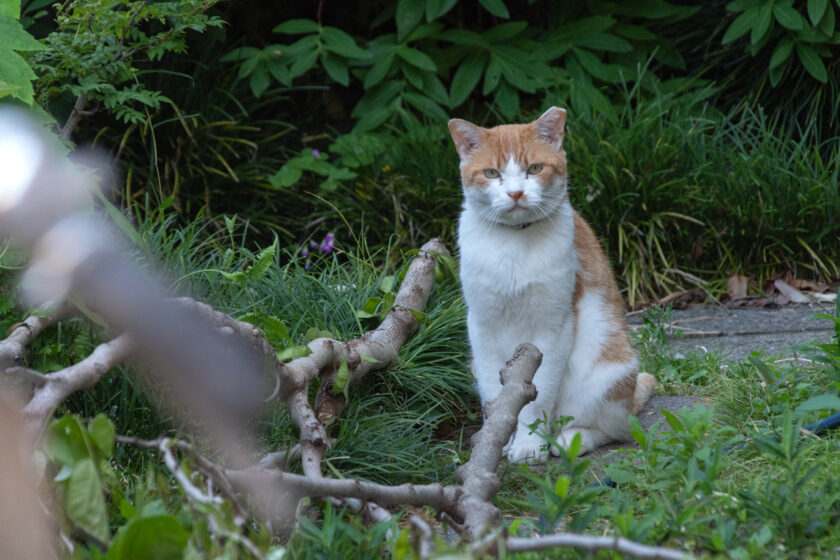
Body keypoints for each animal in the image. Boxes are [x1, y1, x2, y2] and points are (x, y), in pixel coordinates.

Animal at [446, 106, 656, 464]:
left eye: (534, 168)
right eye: (491, 173)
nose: (516, 193)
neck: (514, 244)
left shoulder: (552, 329)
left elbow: (538, 397)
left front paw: (528, 444)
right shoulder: (482, 327)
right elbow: (494, 397)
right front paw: (496, 441)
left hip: (605, 373)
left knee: (616, 429)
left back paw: (569, 440)